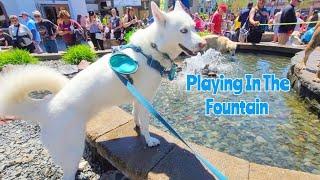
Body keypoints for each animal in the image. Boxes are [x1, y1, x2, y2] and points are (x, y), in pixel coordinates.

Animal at [0, 1, 205, 179]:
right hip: (73, 150)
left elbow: (136, 115)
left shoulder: (138, 98)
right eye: (183, 31)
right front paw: (148, 140)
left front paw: (137, 127)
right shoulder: (146, 99)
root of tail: (45, 107)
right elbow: (146, 124)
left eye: (195, 27)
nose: (203, 44)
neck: (152, 50)